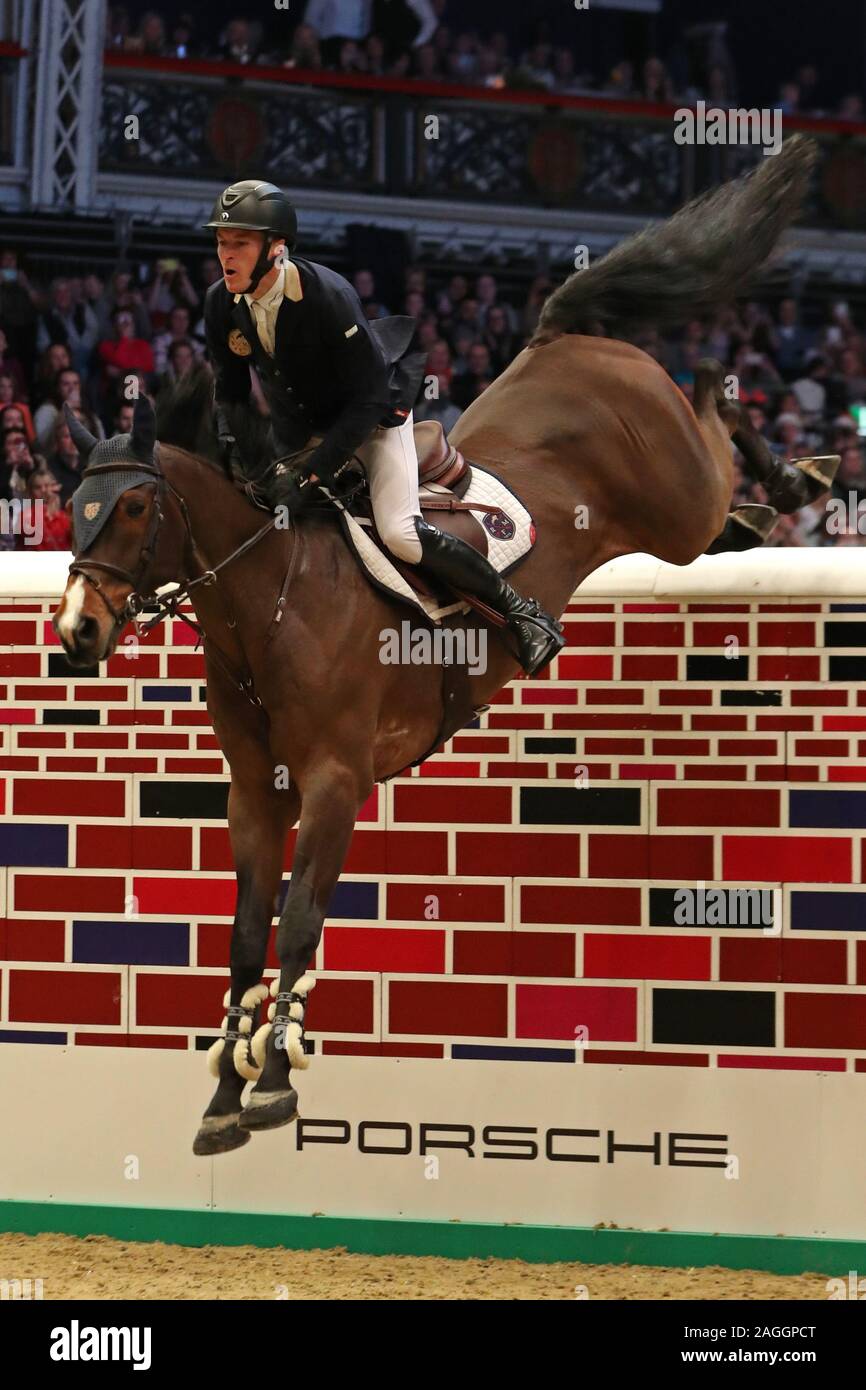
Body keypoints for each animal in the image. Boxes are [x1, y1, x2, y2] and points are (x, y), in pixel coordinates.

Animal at [52, 135, 832, 1155]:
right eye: (73, 504)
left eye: (137, 508)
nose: (77, 629)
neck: (269, 602)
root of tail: (556, 338)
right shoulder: (255, 796)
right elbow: (245, 935)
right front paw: (226, 1091)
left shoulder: (334, 781)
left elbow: (297, 923)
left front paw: (276, 1078)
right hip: (677, 514)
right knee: (714, 449)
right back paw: (765, 510)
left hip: (677, 496)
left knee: (711, 391)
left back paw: (798, 474)